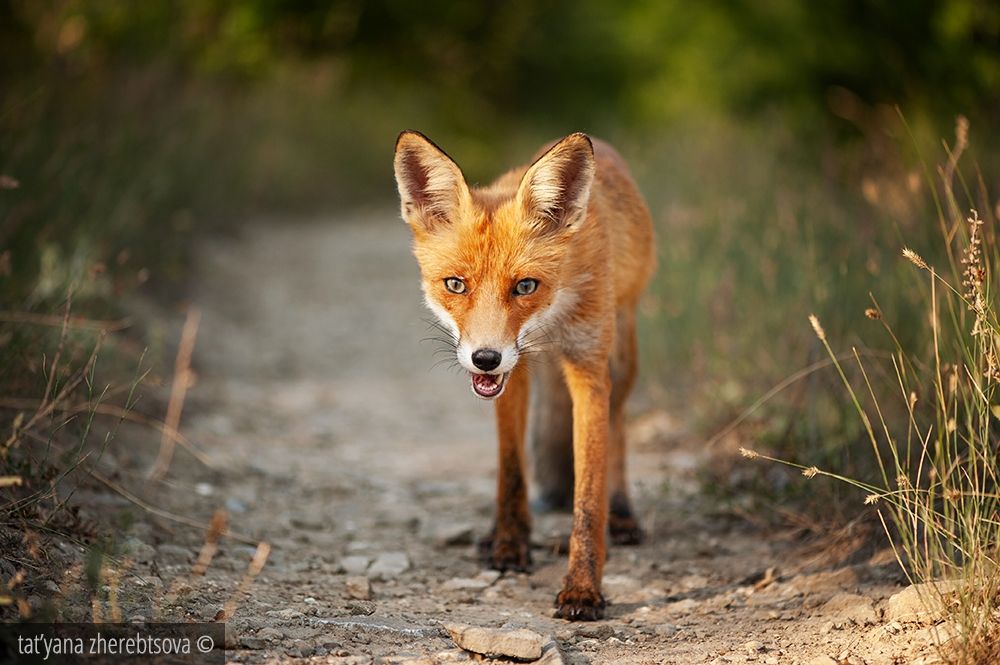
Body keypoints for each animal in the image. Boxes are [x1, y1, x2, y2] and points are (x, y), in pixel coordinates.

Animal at [390, 132, 656, 620]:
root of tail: (602, 143)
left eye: (526, 286)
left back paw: (623, 513)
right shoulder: (514, 377)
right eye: (455, 284)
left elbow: (588, 496)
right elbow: (511, 471)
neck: (552, 319)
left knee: (619, 431)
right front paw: (510, 545)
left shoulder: (589, 369)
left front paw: (583, 587)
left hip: (624, 353)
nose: (485, 358)